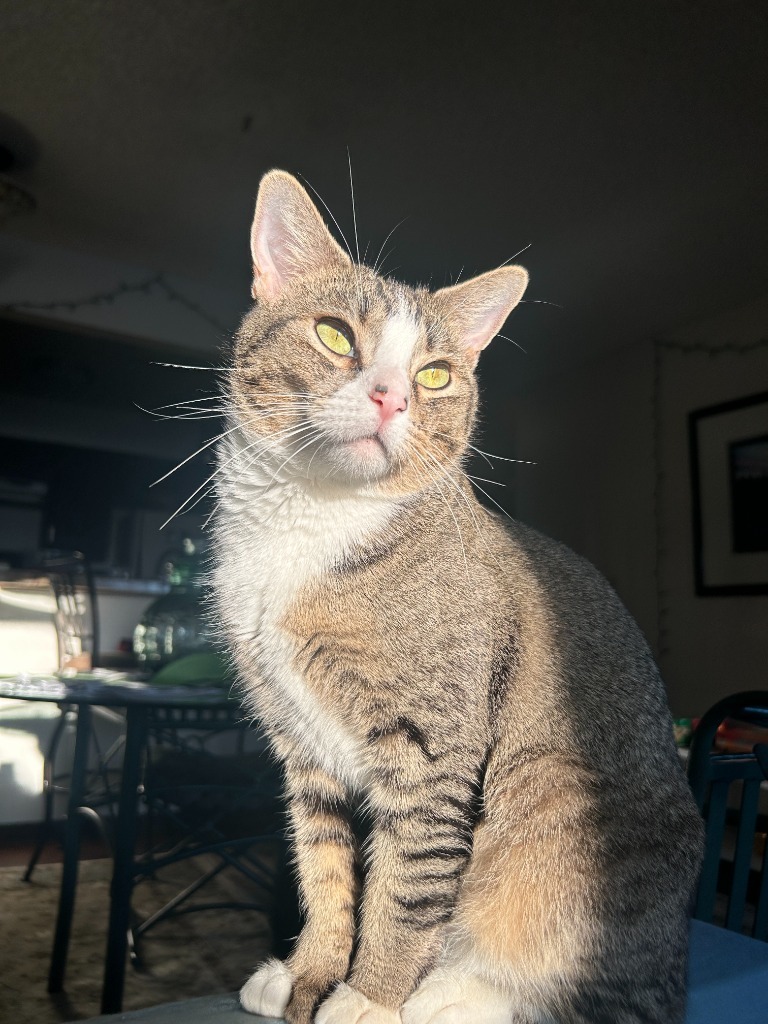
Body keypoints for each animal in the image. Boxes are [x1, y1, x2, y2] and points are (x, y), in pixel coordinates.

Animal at [210, 172, 704, 1024]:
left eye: (436, 374)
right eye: (334, 335)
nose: (390, 399)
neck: (310, 519)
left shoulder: (432, 743)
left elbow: (405, 887)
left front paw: (368, 995)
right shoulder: (299, 742)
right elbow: (325, 868)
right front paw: (310, 969)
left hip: (556, 806)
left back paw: (447, 995)